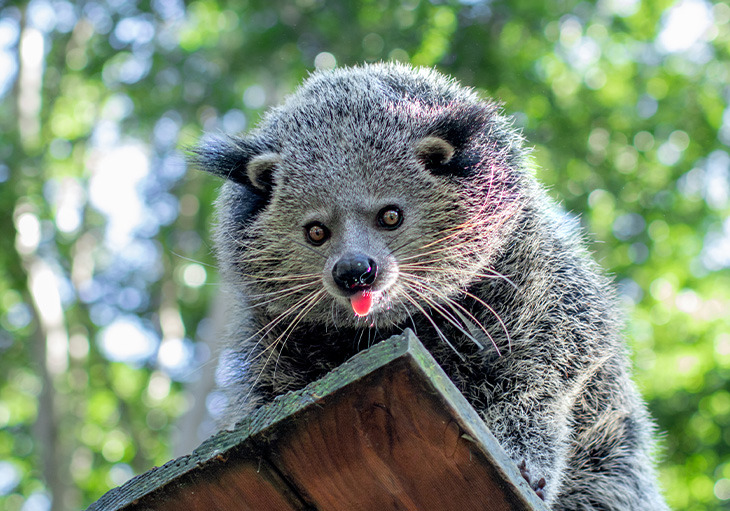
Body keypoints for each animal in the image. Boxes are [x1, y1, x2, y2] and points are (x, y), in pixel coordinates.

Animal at [192, 63, 668, 510]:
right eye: (315, 231)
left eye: (390, 215)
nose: (354, 272)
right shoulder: (272, 335)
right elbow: (270, 385)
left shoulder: (538, 271)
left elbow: (553, 364)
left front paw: (524, 452)